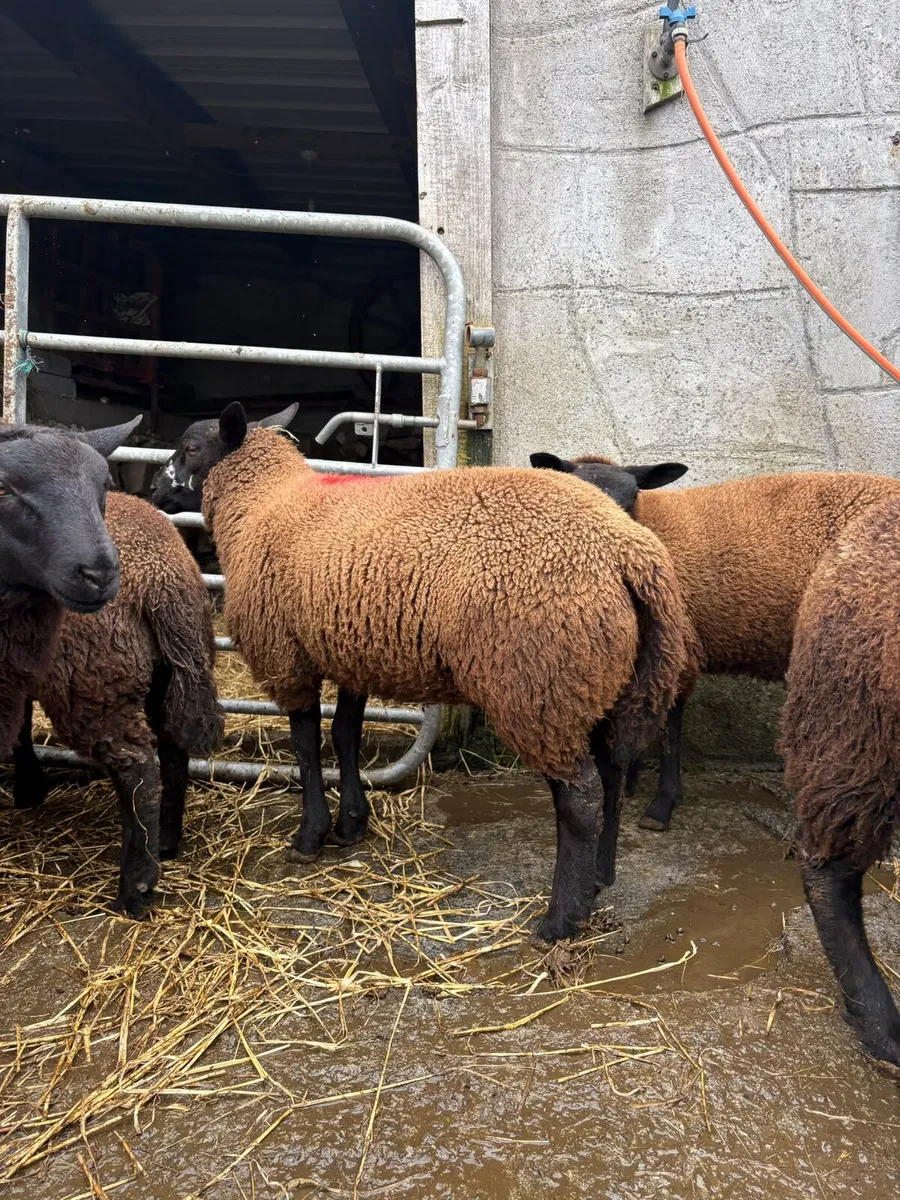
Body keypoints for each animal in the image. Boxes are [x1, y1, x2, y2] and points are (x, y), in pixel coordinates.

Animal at [12, 491, 222, 918]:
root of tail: (162, 574)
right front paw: (28, 788)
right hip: (169, 672)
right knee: (173, 751)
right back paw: (167, 841)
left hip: (92, 680)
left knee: (137, 770)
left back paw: (135, 889)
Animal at [152, 402, 691, 941]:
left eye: (191, 448)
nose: (155, 488)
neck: (262, 502)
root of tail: (626, 550)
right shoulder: (351, 646)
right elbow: (345, 735)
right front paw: (352, 825)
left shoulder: (287, 655)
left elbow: (307, 746)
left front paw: (310, 836)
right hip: (599, 681)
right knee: (612, 776)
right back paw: (598, 880)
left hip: (538, 683)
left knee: (580, 799)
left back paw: (559, 919)